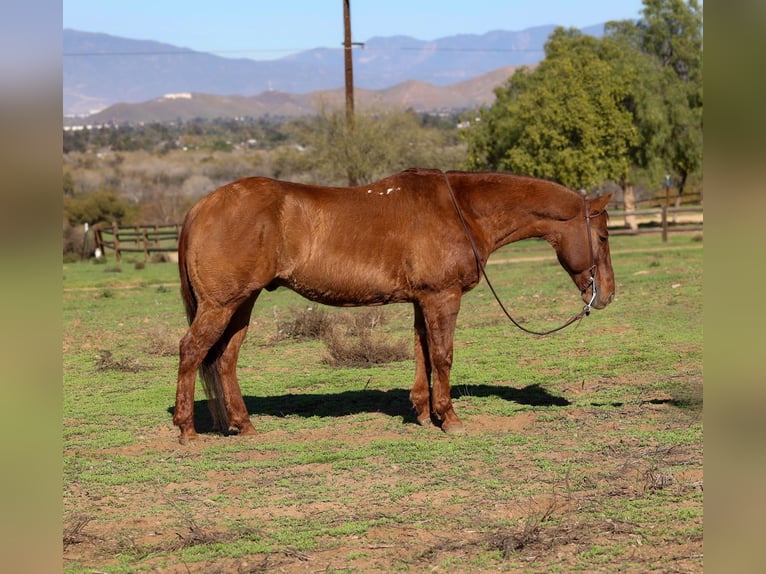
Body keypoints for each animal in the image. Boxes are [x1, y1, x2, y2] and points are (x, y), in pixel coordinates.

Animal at [173, 168, 615, 443]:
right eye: (604, 236)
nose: (607, 293)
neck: (462, 210)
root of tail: (200, 207)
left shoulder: (423, 300)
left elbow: (423, 355)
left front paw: (422, 414)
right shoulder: (442, 297)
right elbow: (443, 355)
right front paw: (449, 419)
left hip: (242, 304)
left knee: (225, 360)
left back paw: (244, 425)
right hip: (221, 305)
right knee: (192, 352)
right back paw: (187, 430)